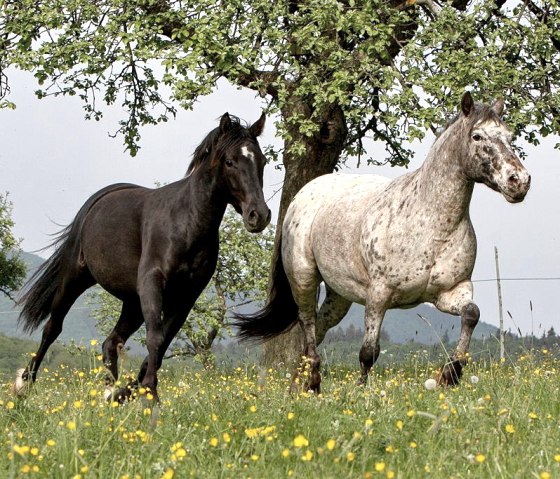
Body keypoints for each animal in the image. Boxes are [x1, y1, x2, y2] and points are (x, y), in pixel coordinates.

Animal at [16, 111, 270, 402]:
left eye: (262, 161)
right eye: (230, 161)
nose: (259, 216)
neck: (186, 223)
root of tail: (101, 199)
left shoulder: (185, 297)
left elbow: (161, 345)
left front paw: (134, 391)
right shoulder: (152, 283)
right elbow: (155, 339)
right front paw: (151, 395)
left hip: (131, 301)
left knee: (111, 341)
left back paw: (109, 392)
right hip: (75, 279)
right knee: (52, 328)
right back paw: (24, 385)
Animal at [234, 92, 532, 392]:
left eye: (509, 135)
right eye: (477, 136)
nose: (519, 181)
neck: (431, 224)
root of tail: (304, 193)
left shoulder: (451, 291)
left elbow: (471, 314)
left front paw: (450, 374)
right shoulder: (379, 294)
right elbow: (368, 352)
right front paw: (362, 392)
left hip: (339, 295)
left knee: (318, 330)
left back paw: (300, 385)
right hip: (304, 278)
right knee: (307, 323)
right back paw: (313, 383)